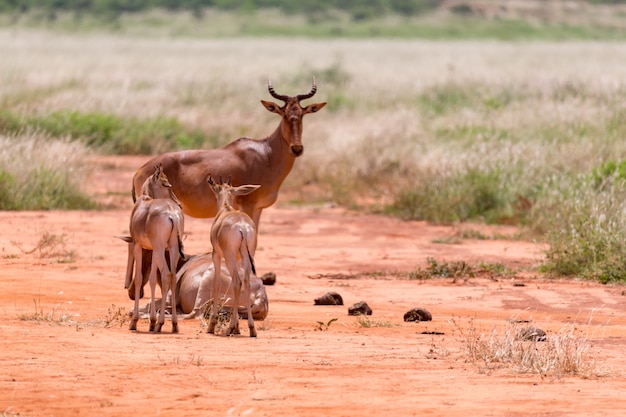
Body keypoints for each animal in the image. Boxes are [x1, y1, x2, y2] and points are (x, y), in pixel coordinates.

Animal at [127, 164, 184, 334]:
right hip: (171, 248)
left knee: (166, 275)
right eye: (166, 183)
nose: (180, 204)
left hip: (160, 248)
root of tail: (172, 215)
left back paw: (160, 324)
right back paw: (174, 324)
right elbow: (152, 279)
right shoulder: (152, 250)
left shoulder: (138, 246)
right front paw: (151, 322)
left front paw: (134, 322)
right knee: (173, 277)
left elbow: (139, 278)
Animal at [132, 77, 326, 229]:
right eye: (283, 113)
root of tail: (139, 170)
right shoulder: (247, 206)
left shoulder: (258, 208)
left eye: (301, 113)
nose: (297, 148)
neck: (266, 153)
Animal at [206, 174, 260, 336]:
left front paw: (212, 325)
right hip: (247, 256)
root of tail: (242, 227)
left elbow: (217, 284)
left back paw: (230, 328)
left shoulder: (216, 255)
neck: (226, 209)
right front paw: (237, 326)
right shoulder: (238, 258)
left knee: (237, 282)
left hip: (229, 257)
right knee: (246, 282)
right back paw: (251, 328)